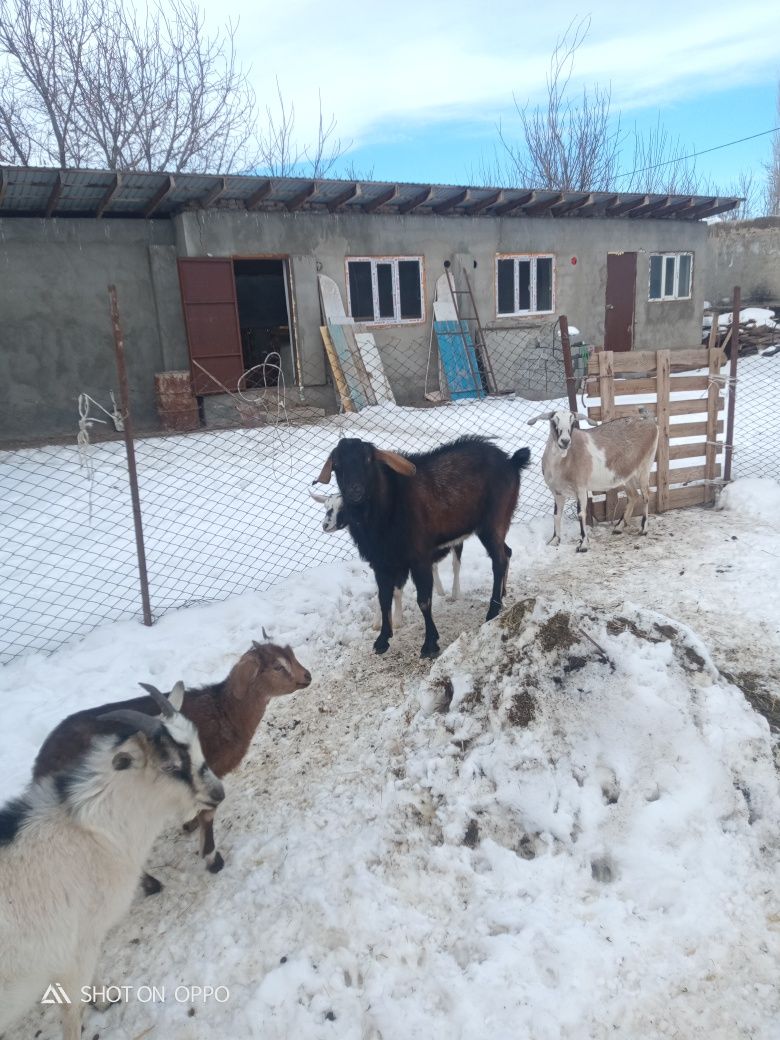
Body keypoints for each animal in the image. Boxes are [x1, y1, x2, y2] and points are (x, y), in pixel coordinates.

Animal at [0, 682, 225, 1040]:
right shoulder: (76, 946)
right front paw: (101, 1002)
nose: (218, 793)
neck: (92, 832)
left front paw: (104, 998)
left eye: (197, 745)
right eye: (170, 766)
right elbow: (72, 1009)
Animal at [31, 636, 312, 890]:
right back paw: (150, 884)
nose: (307, 676)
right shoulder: (208, 772)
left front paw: (190, 824)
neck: (225, 712)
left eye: (290, 655)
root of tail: (41, 765)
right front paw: (212, 859)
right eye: (277, 667)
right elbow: (209, 814)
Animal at [314, 434, 532, 653]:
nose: (355, 490)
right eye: (337, 465)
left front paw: (429, 644)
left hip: (493, 522)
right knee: (507, 552)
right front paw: (382, 640)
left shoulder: (419, 558)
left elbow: (424, 601)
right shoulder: (381, 563)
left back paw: (492, 611)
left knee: (499, 561)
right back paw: (503, 595)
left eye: (368, 459)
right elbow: (384, 600)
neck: (387, 508)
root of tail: (512, 462)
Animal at [532, 407, 661, 553]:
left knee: (646, 495)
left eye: (573, 422)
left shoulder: (581, 488)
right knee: (633, 495)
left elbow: (581, 514)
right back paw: (618, 527)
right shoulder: (557, 492)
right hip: (626, 473)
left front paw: (583, 544)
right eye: (554, 421)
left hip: (645, 466)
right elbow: (556, 515)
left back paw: (643, 529)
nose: (565, 441)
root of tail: (649, 422)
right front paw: (554, 540)